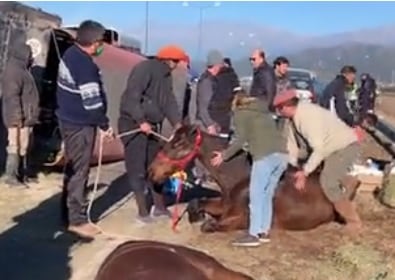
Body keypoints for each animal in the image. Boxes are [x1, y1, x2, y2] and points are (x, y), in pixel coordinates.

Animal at [149, 124, 362, 232]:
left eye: (178, 144)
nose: (151, 172)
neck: (240, 177)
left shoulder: (243, 218)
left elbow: (211, 225)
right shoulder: (224, 205)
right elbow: (198, 203)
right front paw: (196, 215)